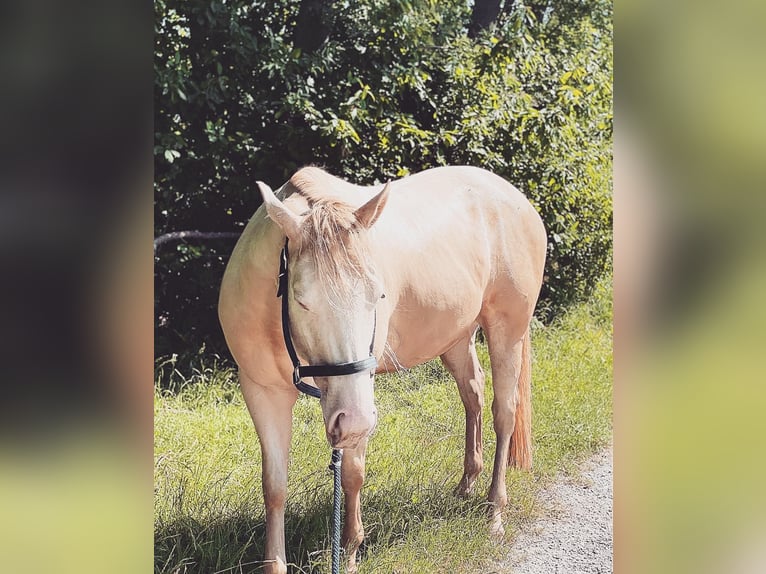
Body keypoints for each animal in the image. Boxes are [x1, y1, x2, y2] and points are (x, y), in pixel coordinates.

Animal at [219, 164, 548, 572]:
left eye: (377, 295)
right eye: (301, 299)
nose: (354, 421)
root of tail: (516, 198)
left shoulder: (360, 395)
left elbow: (351, 475)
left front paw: (349, 552)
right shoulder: (263, 392)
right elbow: (274, 485)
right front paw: (275, 563)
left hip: (508, 330)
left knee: (504, 413)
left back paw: (493, 513)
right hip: (456, 337)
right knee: (472, 393)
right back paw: (466, 484)